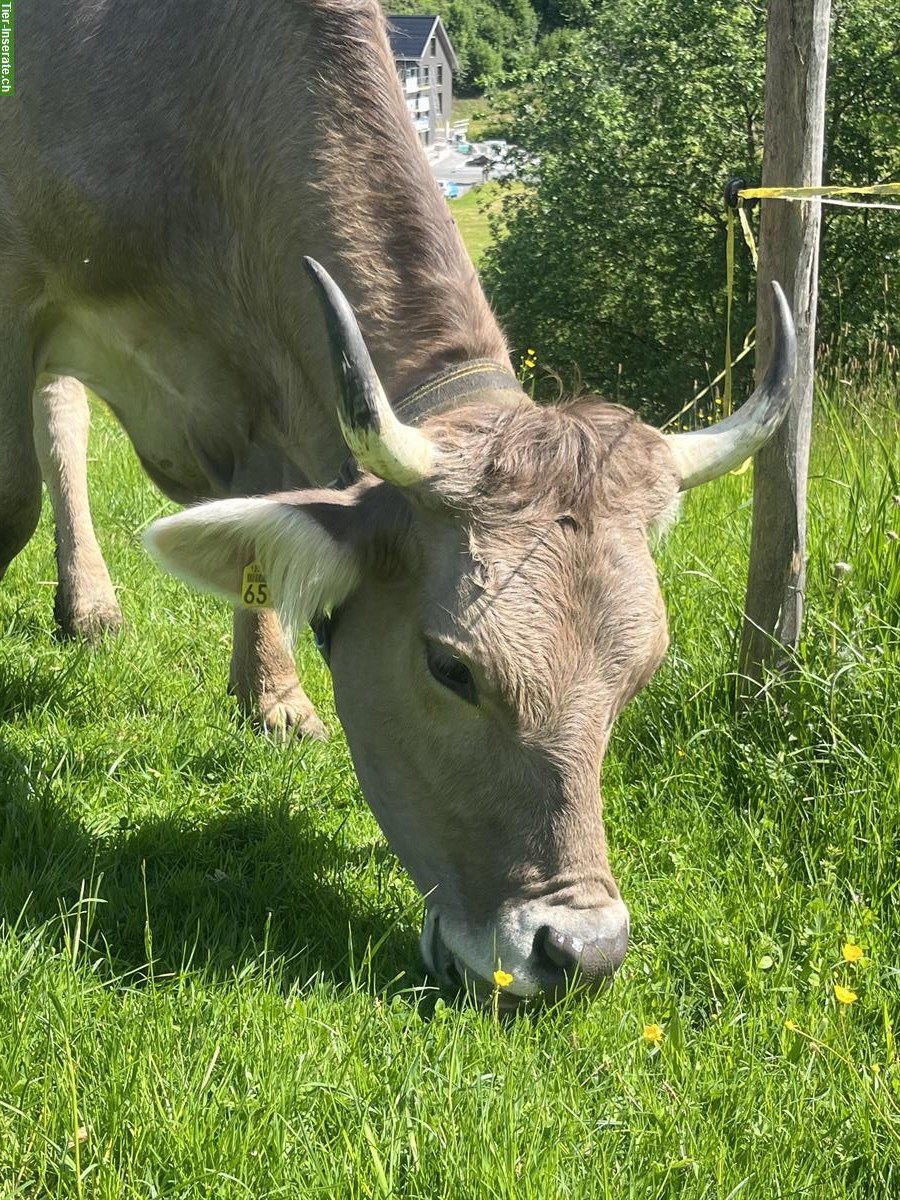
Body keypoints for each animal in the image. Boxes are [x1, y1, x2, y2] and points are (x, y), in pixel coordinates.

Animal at [0, 0, 796, 998]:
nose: (580, 951)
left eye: (642, 673)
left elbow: (263, 532)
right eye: (451, 668)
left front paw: (274, 699)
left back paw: (90, 608)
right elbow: (9, 502)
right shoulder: (19, 284)